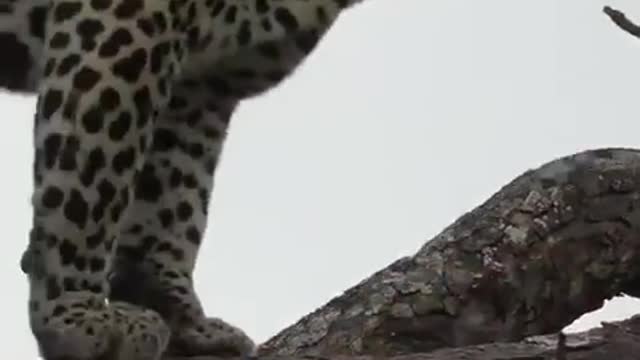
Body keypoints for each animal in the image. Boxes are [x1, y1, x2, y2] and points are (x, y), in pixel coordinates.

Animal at [0, 1, 370, 358]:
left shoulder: (203, 86)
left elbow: (174, 197)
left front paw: (182, 321)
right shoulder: (132, 13)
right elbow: (92, 176)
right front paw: (76, 318)